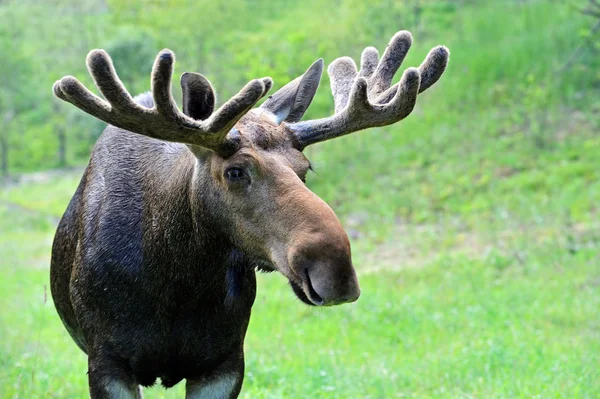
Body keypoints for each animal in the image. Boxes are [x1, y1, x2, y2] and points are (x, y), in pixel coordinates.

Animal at [50, 29, 446, 398]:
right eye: (235, 171)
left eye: (305, 168)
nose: (336, 271)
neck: (176, 279)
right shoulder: (107, 362)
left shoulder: (224, 362)